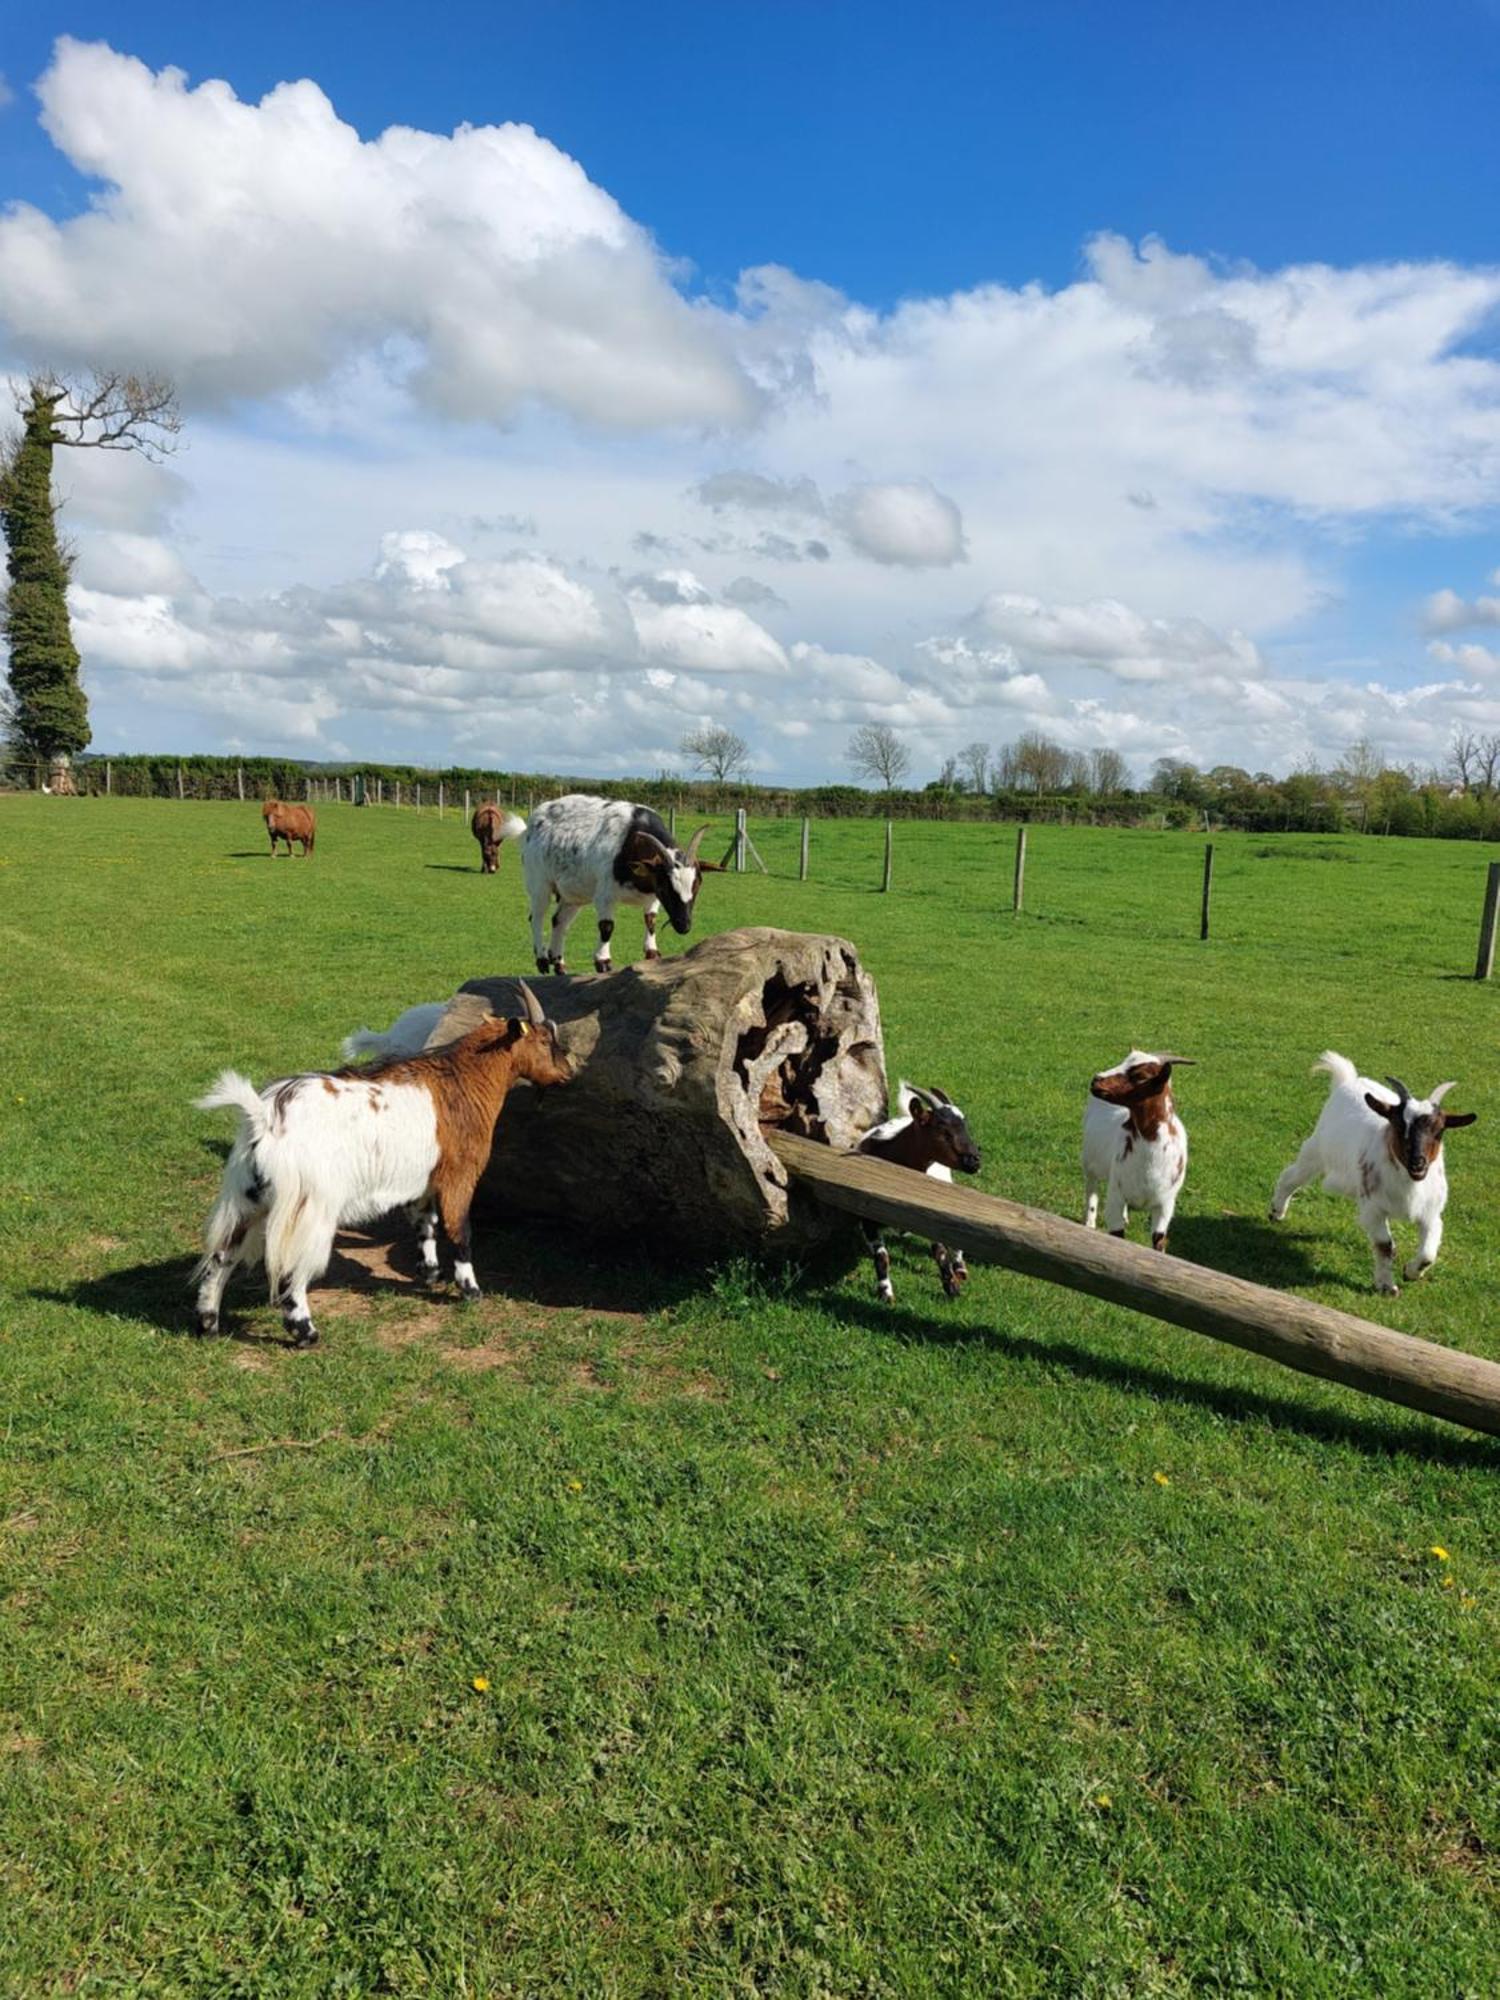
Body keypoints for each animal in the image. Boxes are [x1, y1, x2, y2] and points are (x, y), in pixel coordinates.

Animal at [197, 980, 572, 1344]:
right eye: (544, 1040)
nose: (568, 1072)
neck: (464, 1082)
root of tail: (264, 1117)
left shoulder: (422, 1180)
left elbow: (425, 1224)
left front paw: (430, 1273)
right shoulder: (459, 1174)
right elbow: (460, 1230)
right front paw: (471, 1290)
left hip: (247, 1196)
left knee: (221, 1256)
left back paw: (208, 1325)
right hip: (308, 1203)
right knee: (290, 1268)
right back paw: (305, 1332)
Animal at [856, 1088, 988, 1304]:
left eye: (964, 1125)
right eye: (941, 1127)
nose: (975, 1160)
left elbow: (940, 1251)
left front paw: (952, 1287)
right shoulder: (867, 1218)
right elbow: (881, 1257)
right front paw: (886, 1293)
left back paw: (960, 1268)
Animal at [1088, 1048, 1192, 1248]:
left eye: (1140, 1076)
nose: (1096, 1080)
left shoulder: (1165, 1206)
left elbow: (1158, 1243)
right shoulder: (1115, 1199)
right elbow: (1117, 1237)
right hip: (1088, 1163)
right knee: (1091, 1190)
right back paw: (1089, 1224)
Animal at [1272, 1056, 1480, 1288]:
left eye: (1439, 1131)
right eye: (1399, 1125)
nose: (1418, 1163)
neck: (1409, 1185)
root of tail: (1348, 1080)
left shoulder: (1431, 1213)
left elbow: (1428, 1254)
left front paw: (1410, 1272)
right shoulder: (1374, 1208)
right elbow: (1384, 1246)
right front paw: (1386, 1286)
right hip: (1316, 1150)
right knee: (1291, 1176)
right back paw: (1276, 1212)